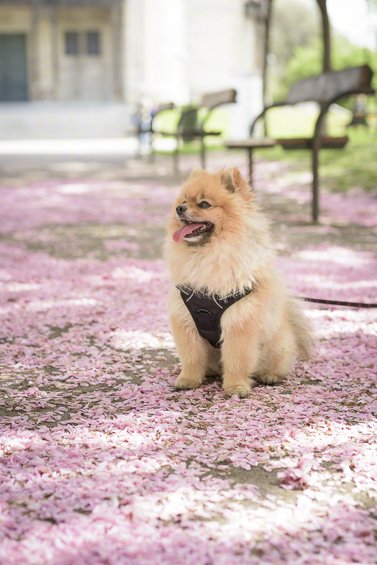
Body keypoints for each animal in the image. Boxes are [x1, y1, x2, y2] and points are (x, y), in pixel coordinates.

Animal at [164, 167, 312, 396]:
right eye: (184, 201)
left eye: (204, 204)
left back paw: (270, 376)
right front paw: (187, 380)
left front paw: (235, 387)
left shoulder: (239, 324)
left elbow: (236, 359)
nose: (180, 209)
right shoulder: (185, 320)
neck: (208, 254)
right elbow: (191, 357)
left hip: (277, 345)